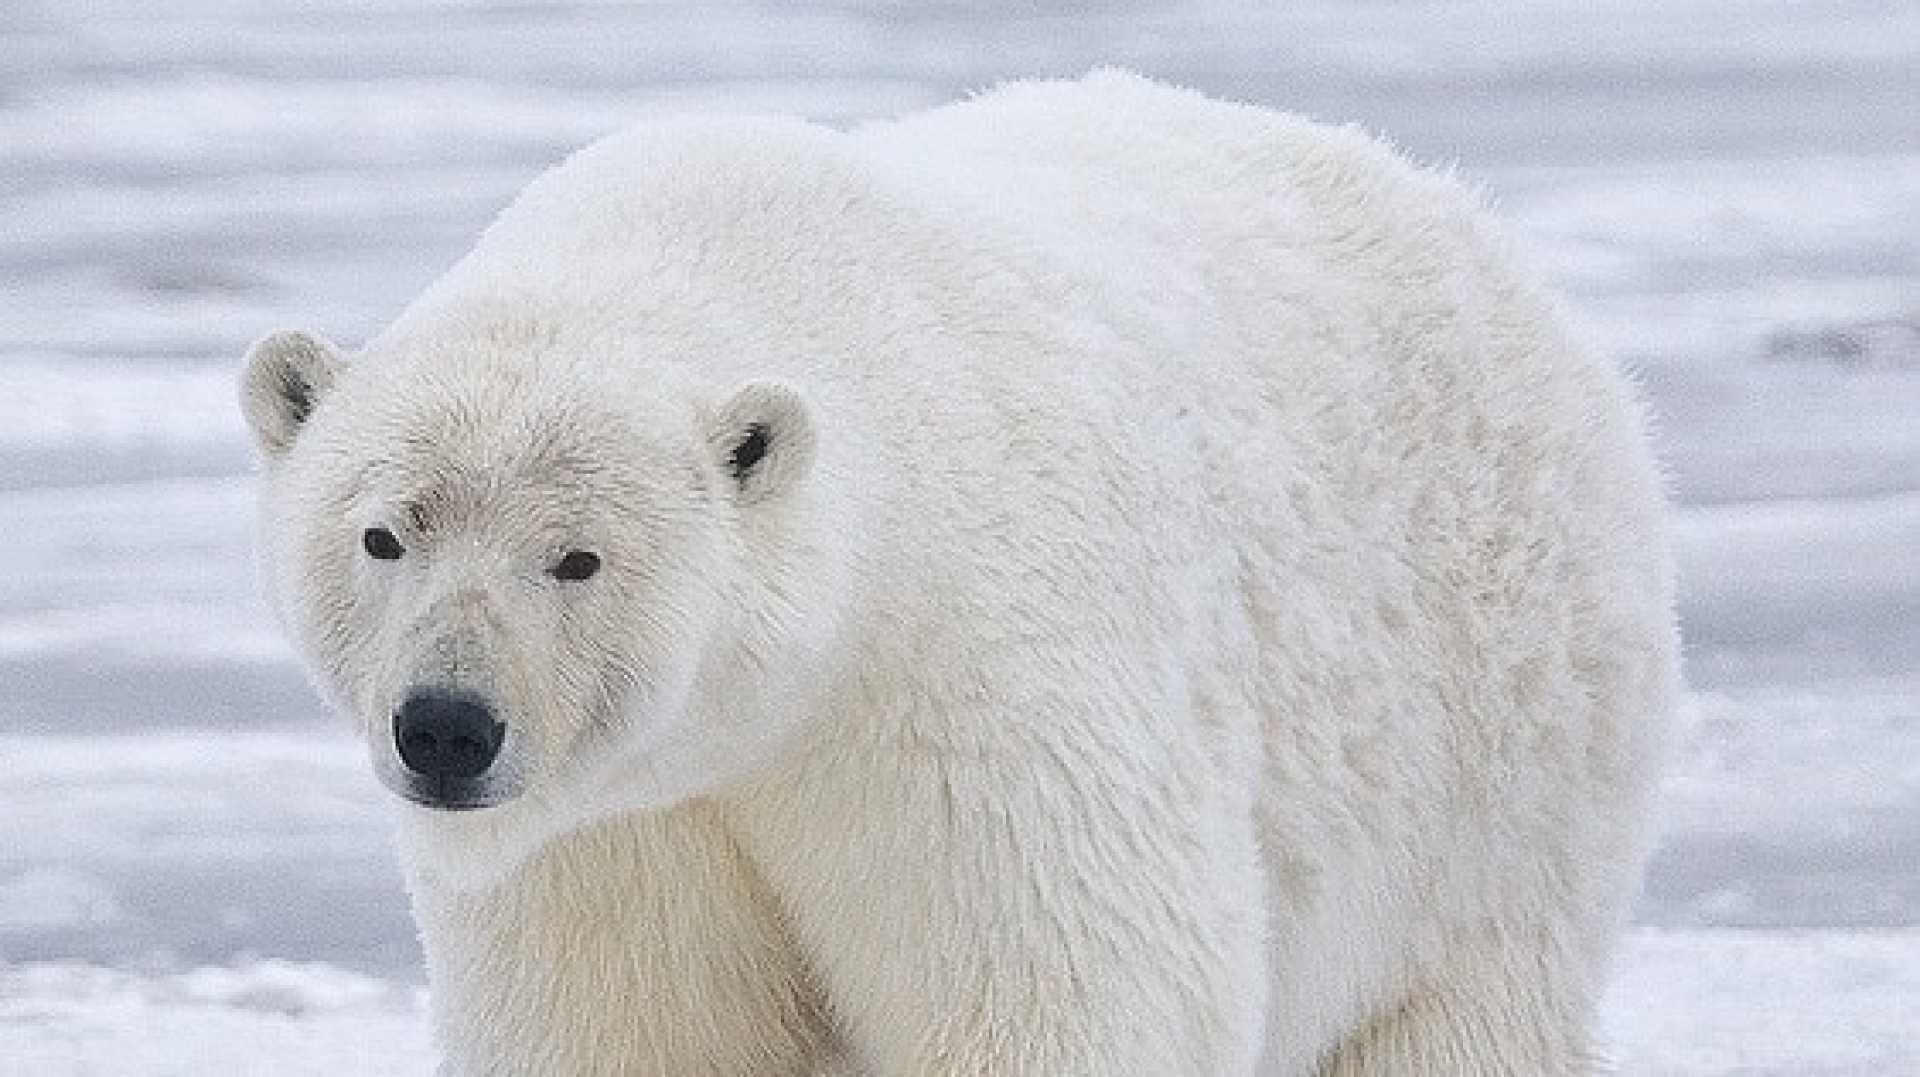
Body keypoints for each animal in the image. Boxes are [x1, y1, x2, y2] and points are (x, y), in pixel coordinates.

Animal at [240, 71, 1681, 1067]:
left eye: (578, 556)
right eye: (384, 532)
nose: (446, 727)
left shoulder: (969, 694)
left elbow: (1063, 992)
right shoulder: (619, 828)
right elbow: (628, 1021)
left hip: (1501, 761)